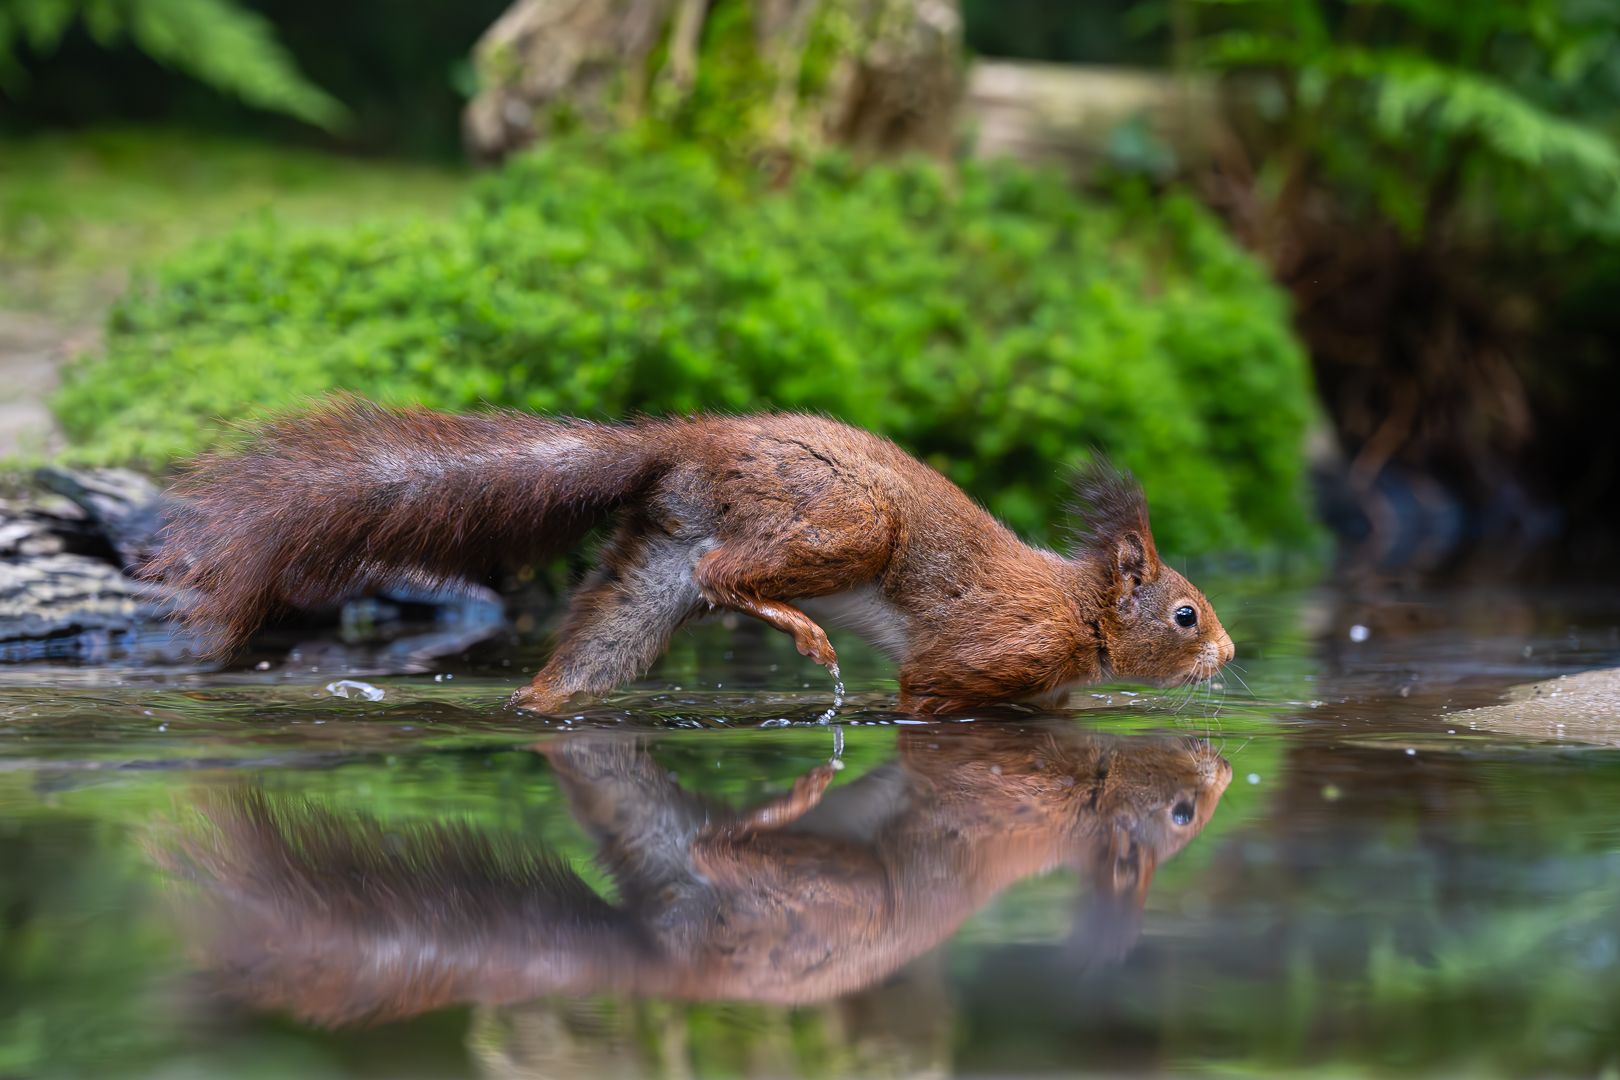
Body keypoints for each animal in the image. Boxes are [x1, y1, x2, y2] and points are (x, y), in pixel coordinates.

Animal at [152, 401, 1231, 712]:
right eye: (1185, 614)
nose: (1228, 655)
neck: (1082, 608)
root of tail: (692, 443)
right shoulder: (989, 648)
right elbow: (929, 695)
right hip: (839, 523)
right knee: (726, 577)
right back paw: (799, 634)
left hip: (652, 572)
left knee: (595, 653)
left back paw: (535, 705)